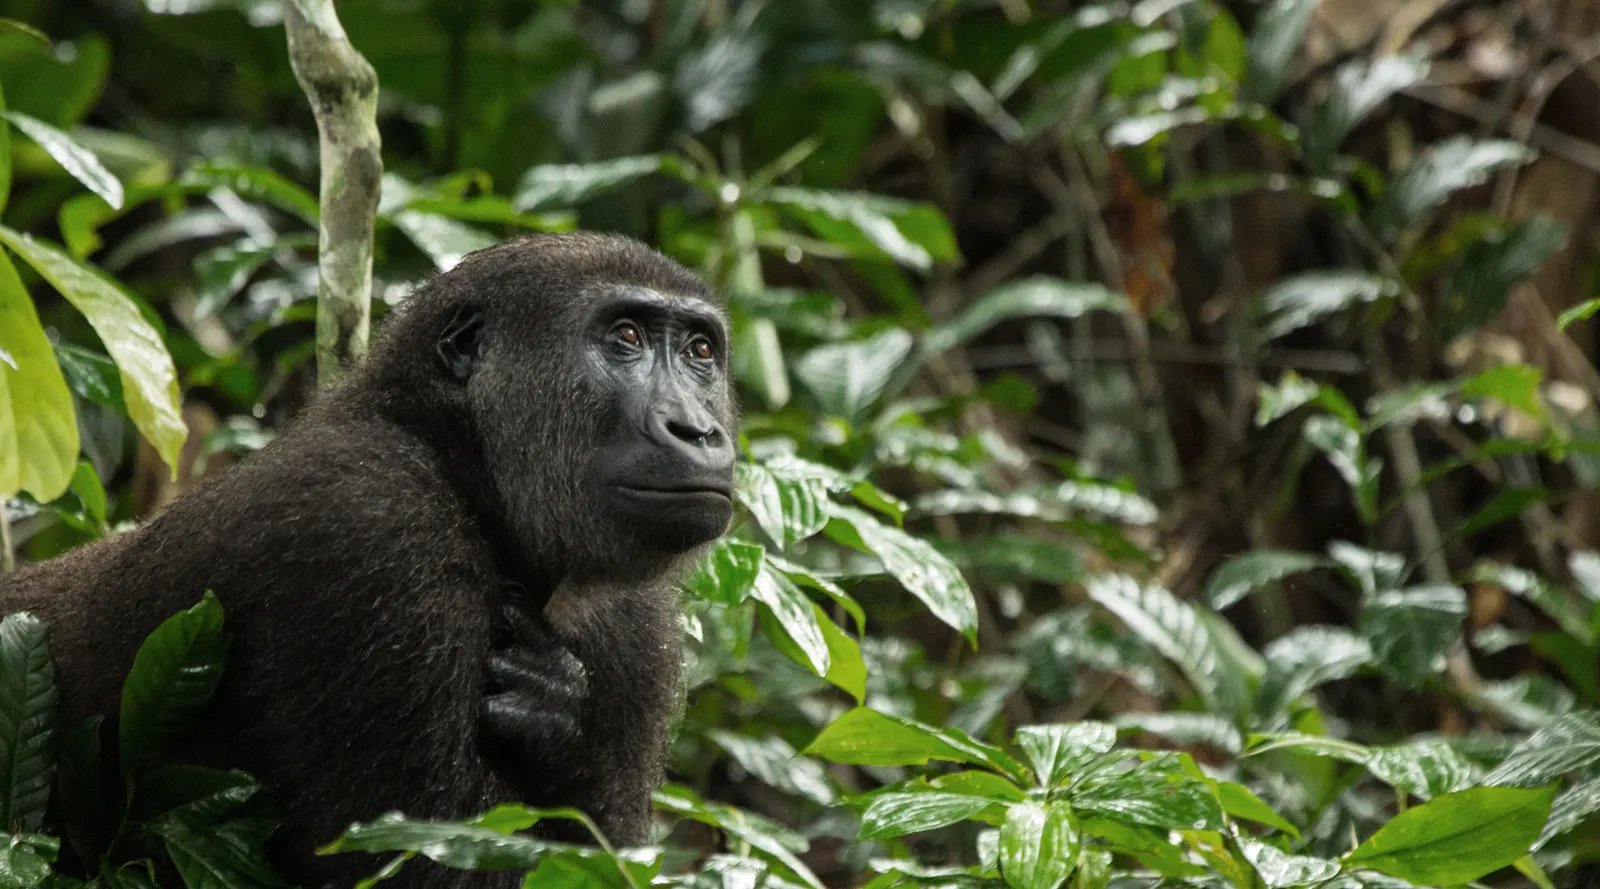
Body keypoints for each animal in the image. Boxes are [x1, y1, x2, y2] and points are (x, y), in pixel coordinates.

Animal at [0, 232, 738, 888]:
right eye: (626, 338)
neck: (457, 460)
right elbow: (422, 866)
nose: (700, 430)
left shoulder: (635, 628)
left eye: (700, 350)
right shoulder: (369, 522)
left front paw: (561, 725)